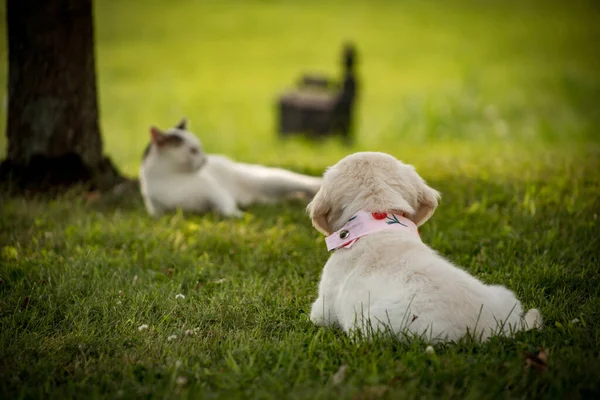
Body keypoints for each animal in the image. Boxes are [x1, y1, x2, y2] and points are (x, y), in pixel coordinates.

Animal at [140, 119, 324, 219]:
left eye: (199, 148)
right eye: (192, 150)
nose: (205, 160)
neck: (170, 178)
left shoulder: (214, 190)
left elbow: (226, 206)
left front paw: (236, 215)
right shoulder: (156, 211)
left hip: (273, 180)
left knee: (306, 183)